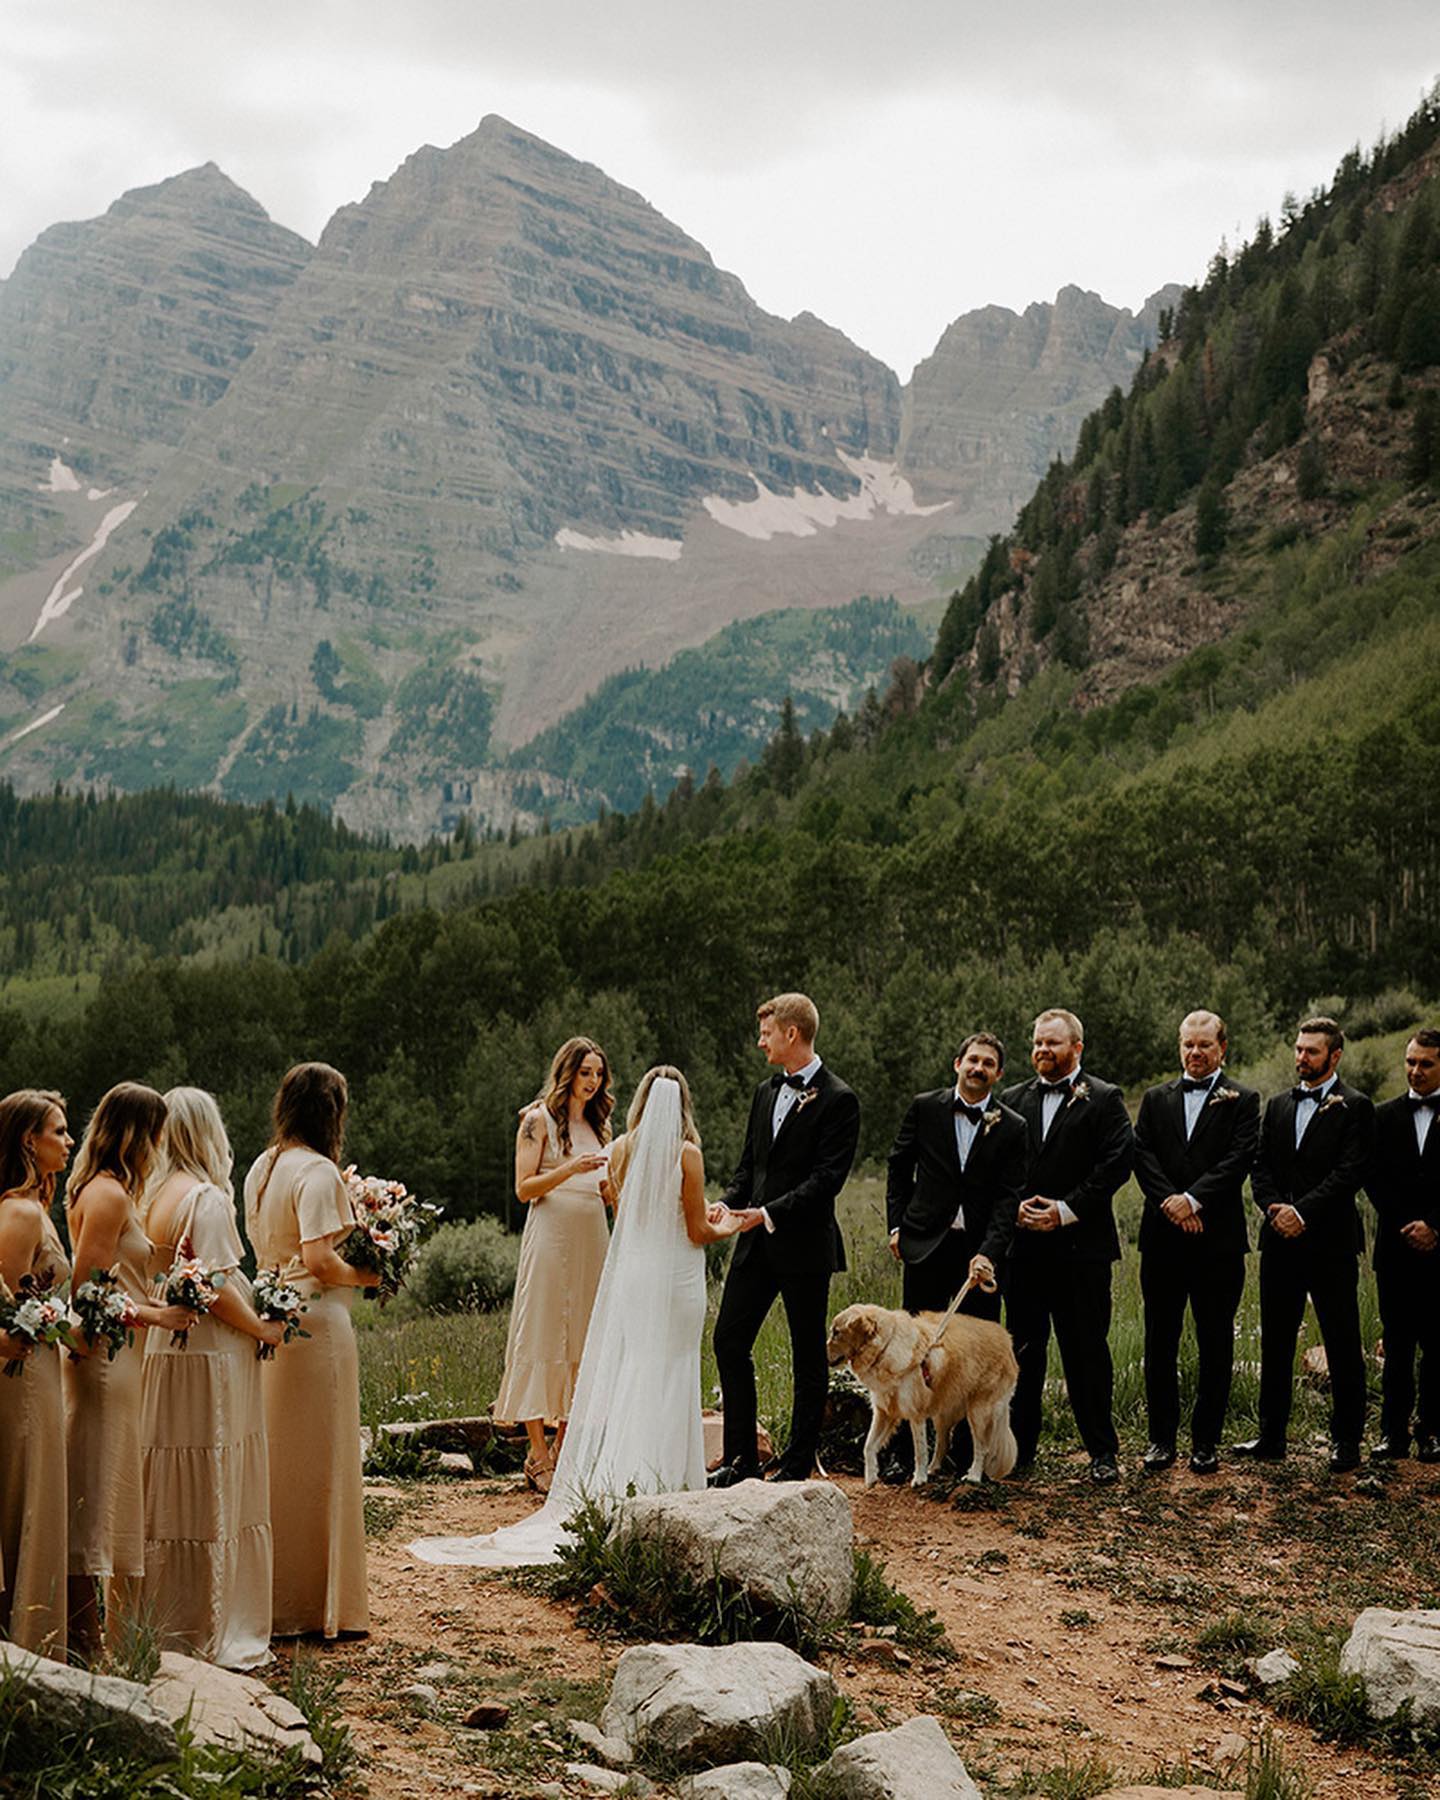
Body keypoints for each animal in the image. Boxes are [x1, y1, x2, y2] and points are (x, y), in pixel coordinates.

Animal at [828, 1303, 1015, 1483]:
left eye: (836, 1332)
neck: (886, 1346)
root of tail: (1007, 1340)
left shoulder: (915, 1414)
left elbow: (919, 1451)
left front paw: (919, 1479)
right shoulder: (884, 1412)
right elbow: (868, 1446)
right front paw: (871, 1478)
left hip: (978, 1413)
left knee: (982, 1447)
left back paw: (974, 1476)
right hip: (943, 1414)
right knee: (943, 1443)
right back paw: (933, 1469)